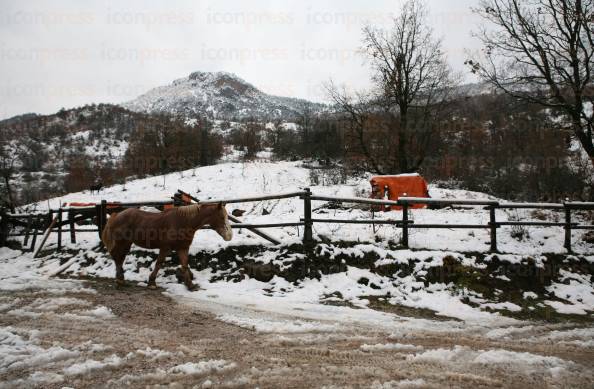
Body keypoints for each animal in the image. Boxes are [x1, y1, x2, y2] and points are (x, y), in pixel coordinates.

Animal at [100, 202, 232, 290]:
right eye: (221, 217)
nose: (229, 236)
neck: (183, 222)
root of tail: (116, 215)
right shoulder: (165, 248)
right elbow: (159, 264)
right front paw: (152, 283)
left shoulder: (183, 248)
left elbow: (184, 265)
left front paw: (190, 285)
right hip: (122, 242)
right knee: (117, 257)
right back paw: (119, 280)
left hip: (126, 243)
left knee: (119, 258)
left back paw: (121, 279)